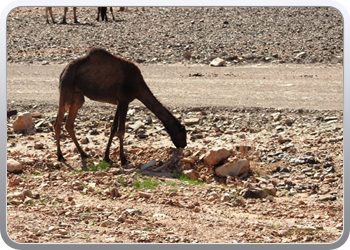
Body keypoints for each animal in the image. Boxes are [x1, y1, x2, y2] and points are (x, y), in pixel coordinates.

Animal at [53, 47, 187, 165]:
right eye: (183, 135)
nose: (184, 145)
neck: (138, 87)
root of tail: (63, 71)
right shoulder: (124, 100)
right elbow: (121, 130)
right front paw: (123, 160)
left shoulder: (119, 101)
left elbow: (113, 129)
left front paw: (107, 157)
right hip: (66, 88)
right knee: (58, 122)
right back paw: (60, 156)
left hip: (78, 96)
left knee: (69, 124)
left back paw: (83, 154)